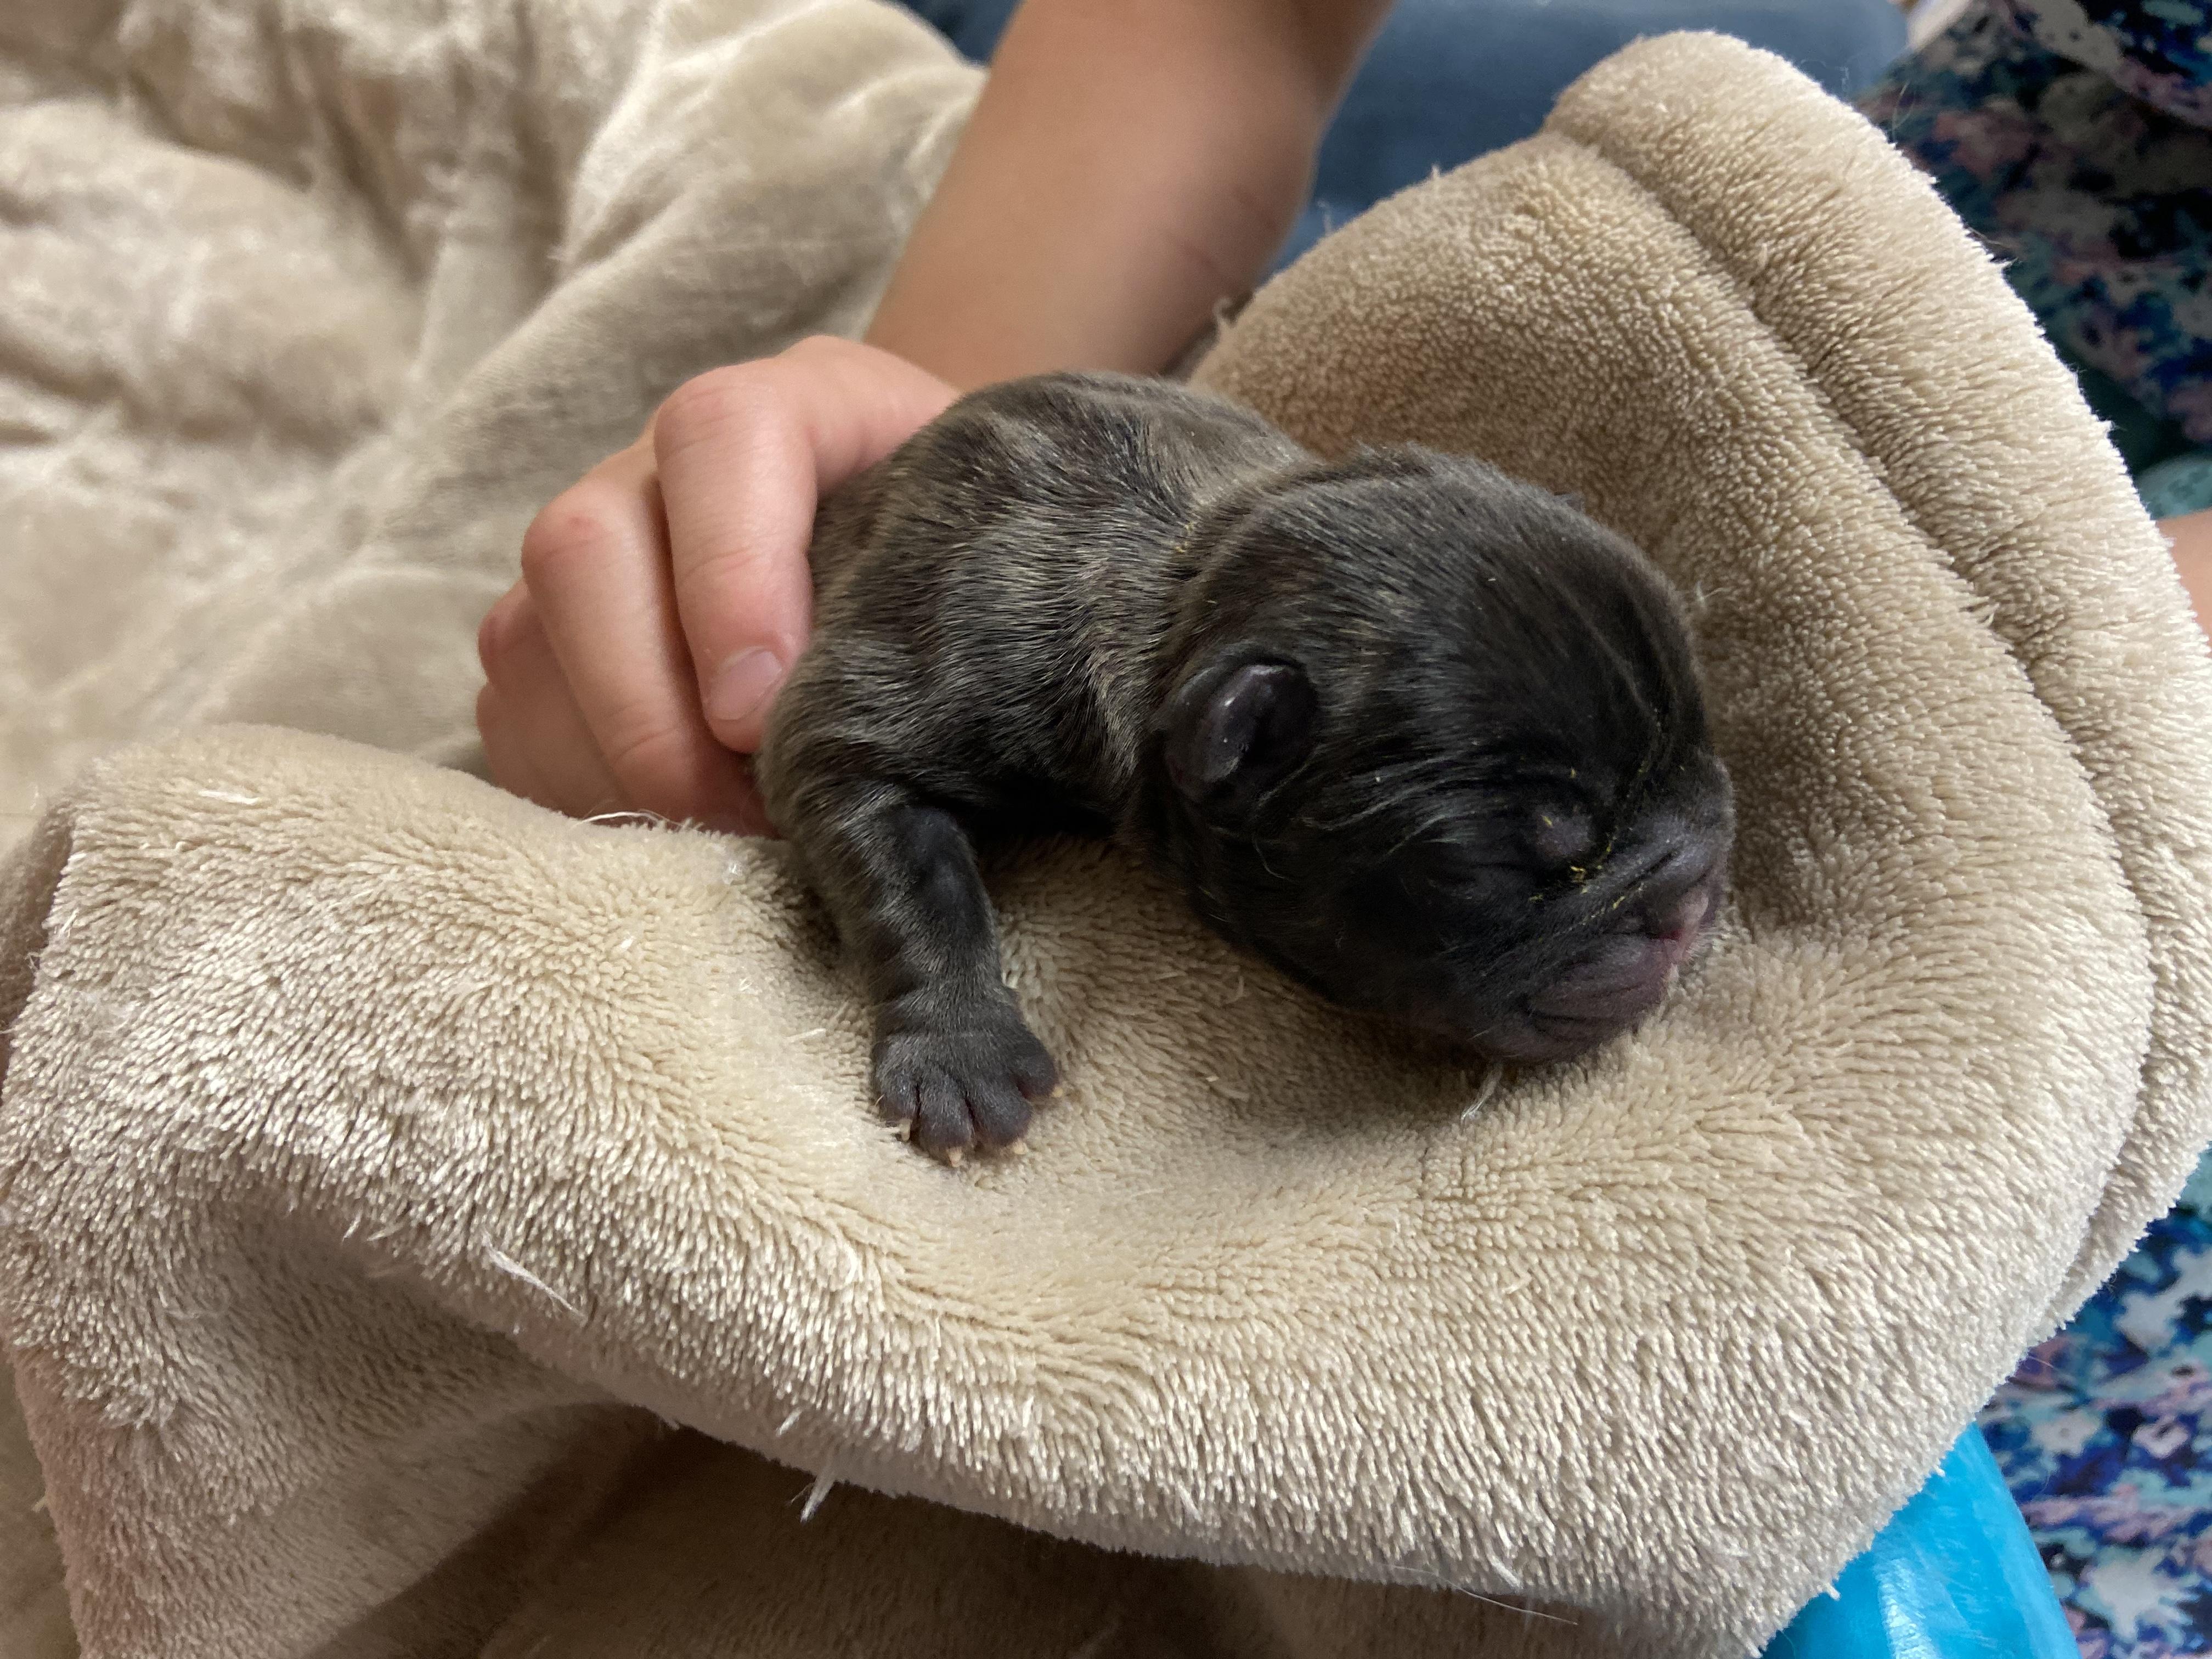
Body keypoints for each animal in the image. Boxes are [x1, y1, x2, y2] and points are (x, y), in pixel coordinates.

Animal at [755, 372, 1734, 1161]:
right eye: (1501, 867)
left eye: (1701, 743)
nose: (1693, 888)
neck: (1185, 583)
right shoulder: (889, 698)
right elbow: (918, 884)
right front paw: (965, 1053)